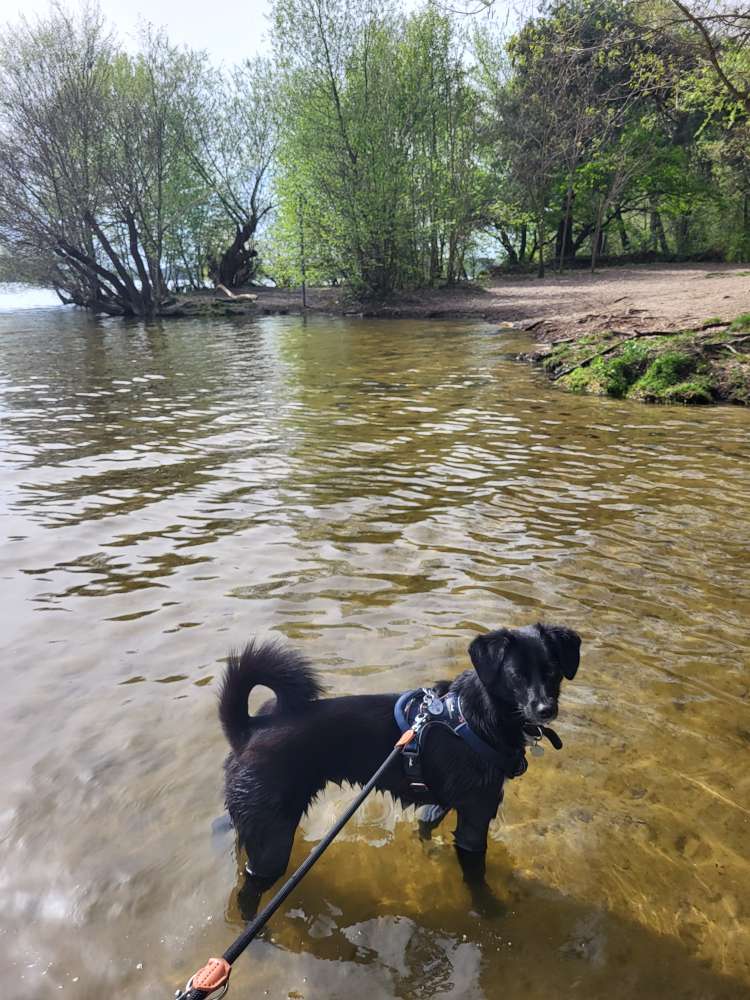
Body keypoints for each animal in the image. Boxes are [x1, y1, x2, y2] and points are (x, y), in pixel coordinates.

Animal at [217, 620, 580, 904]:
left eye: (553, 672)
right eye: (516, 675)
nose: (546, 709)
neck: (477, 717)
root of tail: (248, 729)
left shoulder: (441, 804)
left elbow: (426, 827)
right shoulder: (475, 820)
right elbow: (476, 877)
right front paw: (489, 910)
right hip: (273, 842)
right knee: (249, 892)